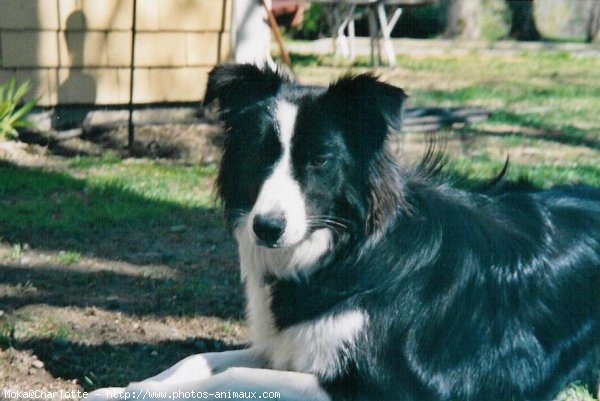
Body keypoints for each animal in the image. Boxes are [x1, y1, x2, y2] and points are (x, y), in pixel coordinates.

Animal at [90, 64, 600, 398]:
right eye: (259, 154)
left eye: (319, 160)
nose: (267, 229)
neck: (346, 249)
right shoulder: (284, 346)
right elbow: (197, 360)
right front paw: (125, 389)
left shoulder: (390, 386)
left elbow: (235, 382)